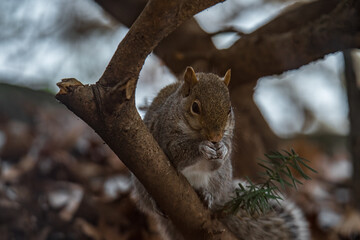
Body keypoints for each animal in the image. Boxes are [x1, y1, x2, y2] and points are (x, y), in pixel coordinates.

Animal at [132, 67, 310, 240]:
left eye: (229, 109)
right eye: (195, 107)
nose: (216, 138)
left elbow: (222, 155)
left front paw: (223, 149)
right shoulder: (165, 133)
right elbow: (177, 152)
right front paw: (202, 147)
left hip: (220, 178)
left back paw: (207, 194)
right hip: (143, 183)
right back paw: (155, 203)